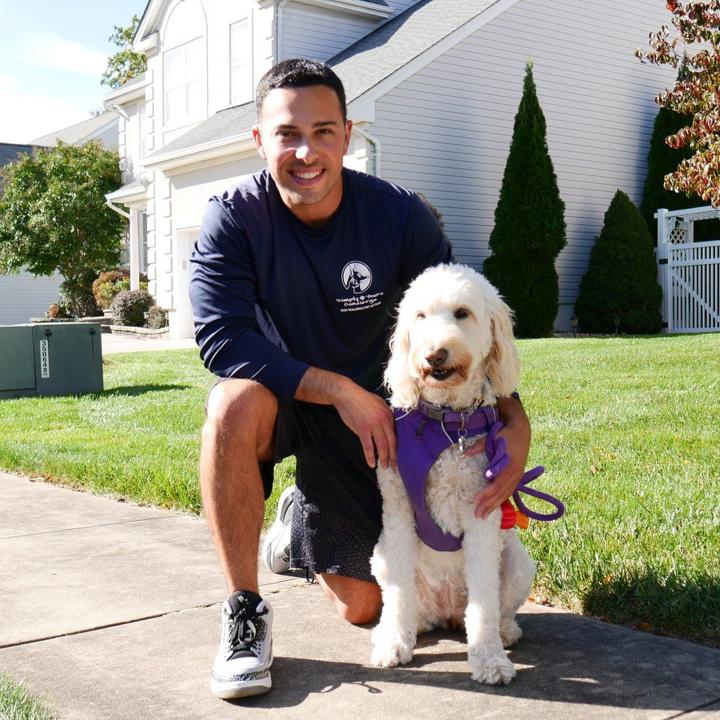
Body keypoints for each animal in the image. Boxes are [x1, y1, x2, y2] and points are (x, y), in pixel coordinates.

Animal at [372, 262, 536, 688]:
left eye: (462, 313)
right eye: (420, 316)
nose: (434, 354)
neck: (446, 424)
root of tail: (445, 611)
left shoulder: (481, 516)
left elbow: (484, 604)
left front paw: (488, 659)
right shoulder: (397, 512)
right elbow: (398, 594)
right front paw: (393, 645)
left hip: (517, 562)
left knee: (498, 607)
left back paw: (505, 631)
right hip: (379, 556)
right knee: (402, 601)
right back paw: (400, 628)